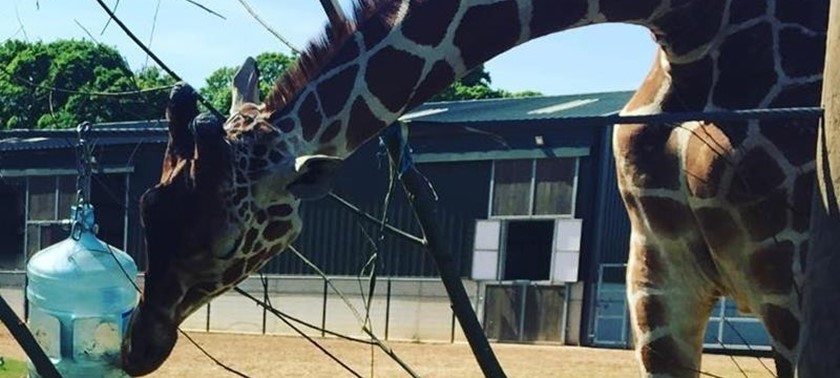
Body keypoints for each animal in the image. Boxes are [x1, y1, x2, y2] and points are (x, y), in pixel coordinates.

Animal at [121, 0, 832, 376]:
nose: (137, 347)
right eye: (147, 207)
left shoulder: (793, 281)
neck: (692, 30)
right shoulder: (657, 277)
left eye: (225, 242)